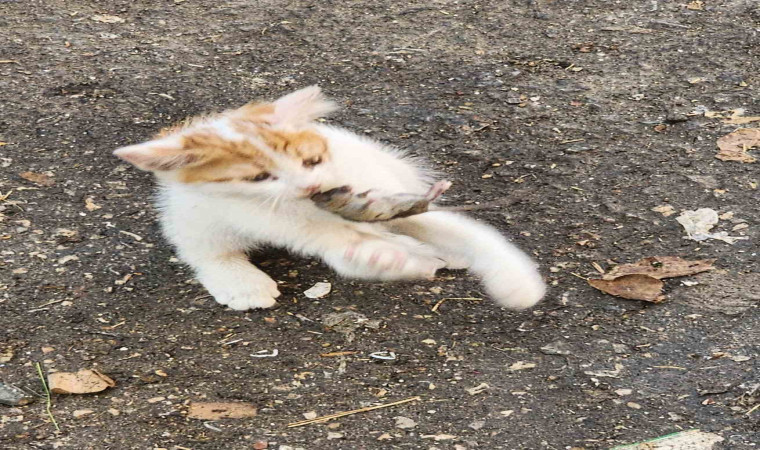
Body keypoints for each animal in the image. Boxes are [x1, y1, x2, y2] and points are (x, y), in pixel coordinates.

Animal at [113, 86, 548, 312]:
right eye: (259, 177)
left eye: (312, 160)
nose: (310, 188)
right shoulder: (262, 214)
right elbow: (333, 240)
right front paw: (388, 257)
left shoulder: (385, 194)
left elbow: (470, 232)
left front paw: (517, 283)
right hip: (192, 215)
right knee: (204, 248)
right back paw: (240, 281)